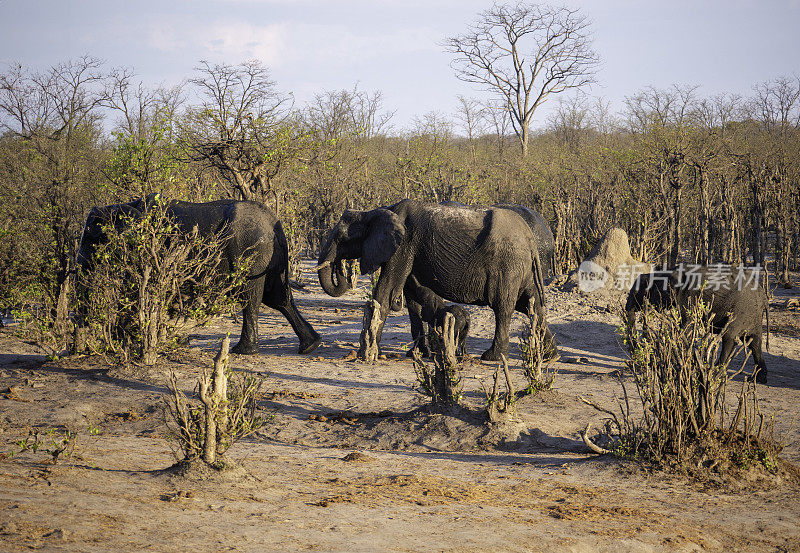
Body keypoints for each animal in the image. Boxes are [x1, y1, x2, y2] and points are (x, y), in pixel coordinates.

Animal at [76, 196, 322, 356]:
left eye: (90, 238)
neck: (123, 206)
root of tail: (274, 223)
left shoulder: (146, 248)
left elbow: (137, 288)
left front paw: (126, 339)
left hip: (249, 250)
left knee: (251, 296)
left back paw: (243, 351)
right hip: (270, 255)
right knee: (279, 298)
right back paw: (310, 346)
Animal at [316, 201, 552, 360]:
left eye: (342, 239)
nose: (339, 268)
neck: (374, 212)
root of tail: (531, 239)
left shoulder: (403, 245)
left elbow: (386, 293)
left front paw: (367, 355)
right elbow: (411, 301)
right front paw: (417, 354)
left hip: (508, 264)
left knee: (503, 307)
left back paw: (492, 357)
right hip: (523, 268)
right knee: (533, 306)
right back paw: (550, 355)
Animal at [624, 268, 768, 384]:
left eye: (640, 292)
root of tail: (763, 294)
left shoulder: (690, 296)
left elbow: (686, 325)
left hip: (742, 309)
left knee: (729, 336)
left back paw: (715, 373)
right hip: (753, 314)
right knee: (754, 343)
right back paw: (757, 380)